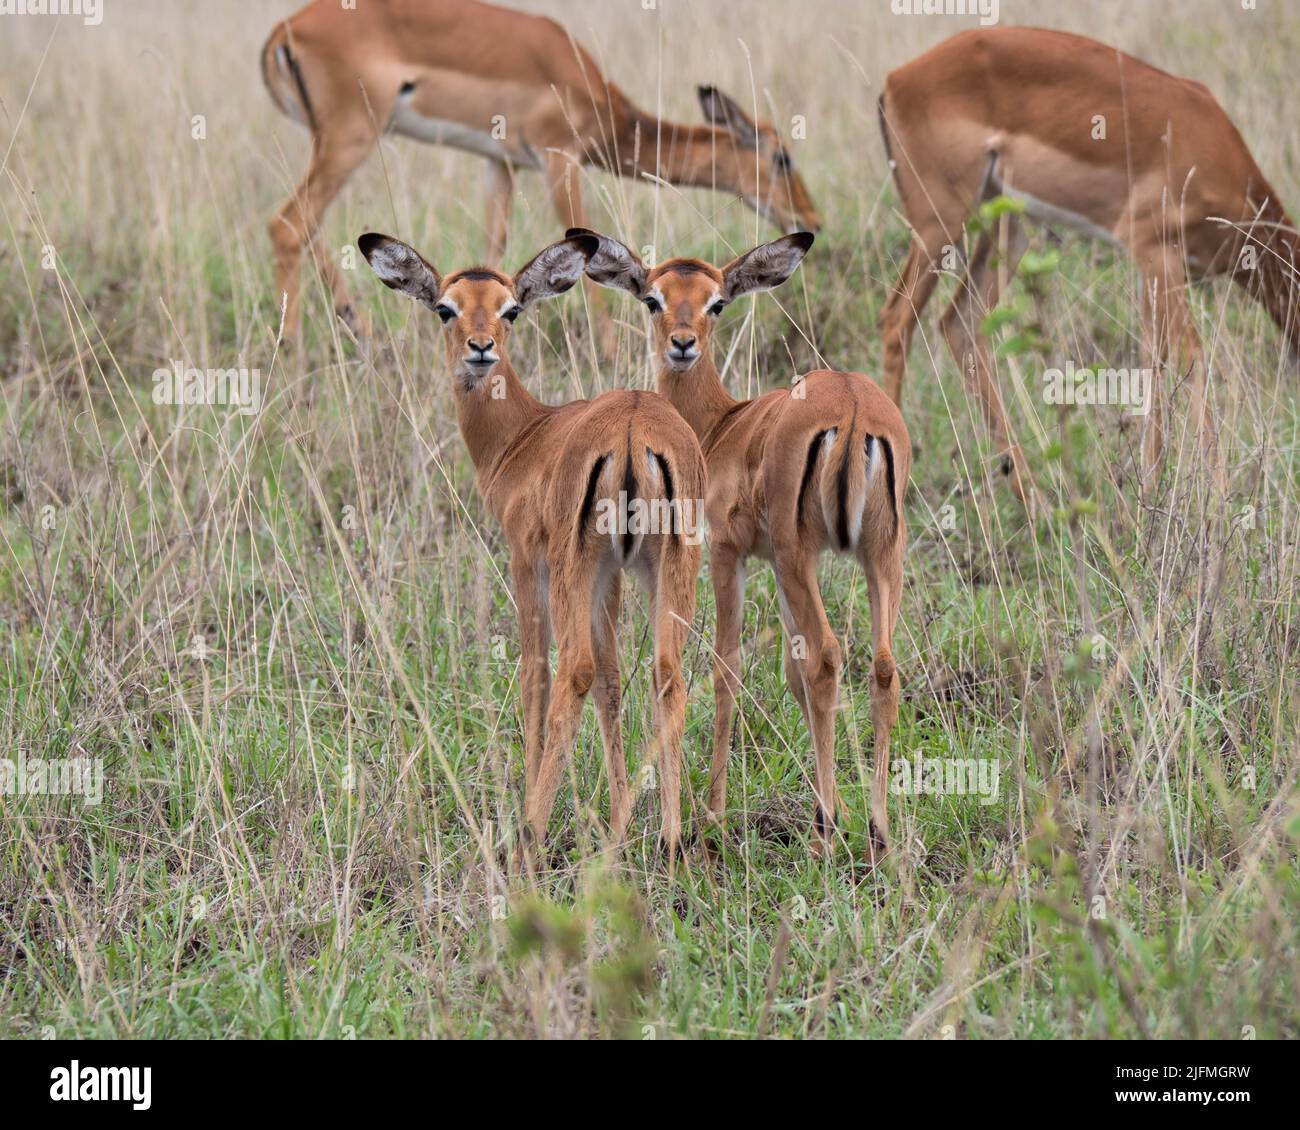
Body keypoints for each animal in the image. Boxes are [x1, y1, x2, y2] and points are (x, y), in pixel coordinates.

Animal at [361, 231, 707, 863]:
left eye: (510, 310)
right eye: (446, 308)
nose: (480, 348)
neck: (526, 436)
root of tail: (633, 428)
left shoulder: (528, 563)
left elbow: (535, 677)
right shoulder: (611, 577)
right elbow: (614, 681)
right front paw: (617, 825)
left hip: (575, 568)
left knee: (572, 671)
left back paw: (529, 836)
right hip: (669, 566)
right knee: (666, 673)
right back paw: (670, 844)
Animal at [574, 227, 909, 853]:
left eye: (716, 303)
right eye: (653, 298)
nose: (682, 344)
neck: (725, 425)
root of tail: (854, 409)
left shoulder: (730, 554)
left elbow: (727, 667)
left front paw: (713, 812)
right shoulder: (778, 566)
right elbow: (790, 675)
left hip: (798, 556)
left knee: (827, 657)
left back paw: (826, 828)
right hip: (878, 556)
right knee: (881, 666)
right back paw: (875, 827)